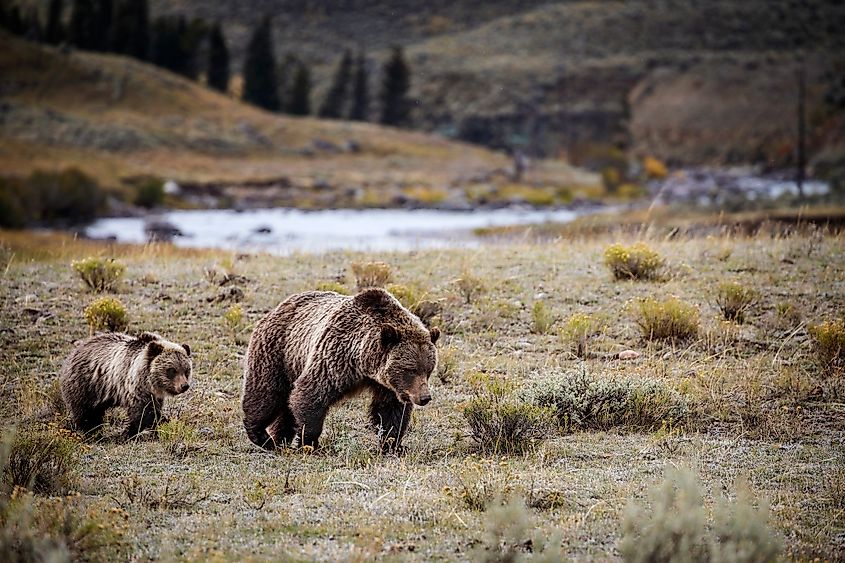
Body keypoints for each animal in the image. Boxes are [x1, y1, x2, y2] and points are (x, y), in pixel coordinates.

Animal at [242, 290, 442, 454]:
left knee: (285, 407)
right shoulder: (335, 358)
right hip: (278, 353)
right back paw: (262, 436)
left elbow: (390, 411)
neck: (363, 362)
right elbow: (310, 395)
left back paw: (279, 439)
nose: (425, 397)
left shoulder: (388, 385)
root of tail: (277, 308)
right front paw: (309, 443)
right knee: (266, 393)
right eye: (410, 370)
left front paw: (393, 445)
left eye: (428, 370)